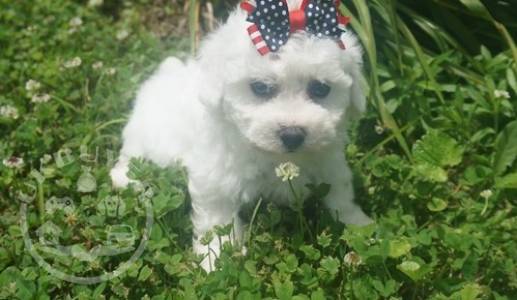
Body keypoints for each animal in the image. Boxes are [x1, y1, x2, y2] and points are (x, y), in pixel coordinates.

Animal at [112, 0, 370, 270]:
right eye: (260, 87)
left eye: (320, 88)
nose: (292, 134)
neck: (274, 155)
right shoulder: (215, 177)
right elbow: (217, 221)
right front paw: (216, 261)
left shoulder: (329, 161)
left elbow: (340, 193)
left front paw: (358, 225)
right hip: (146, 134)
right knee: (131, 156)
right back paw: (126, 179)